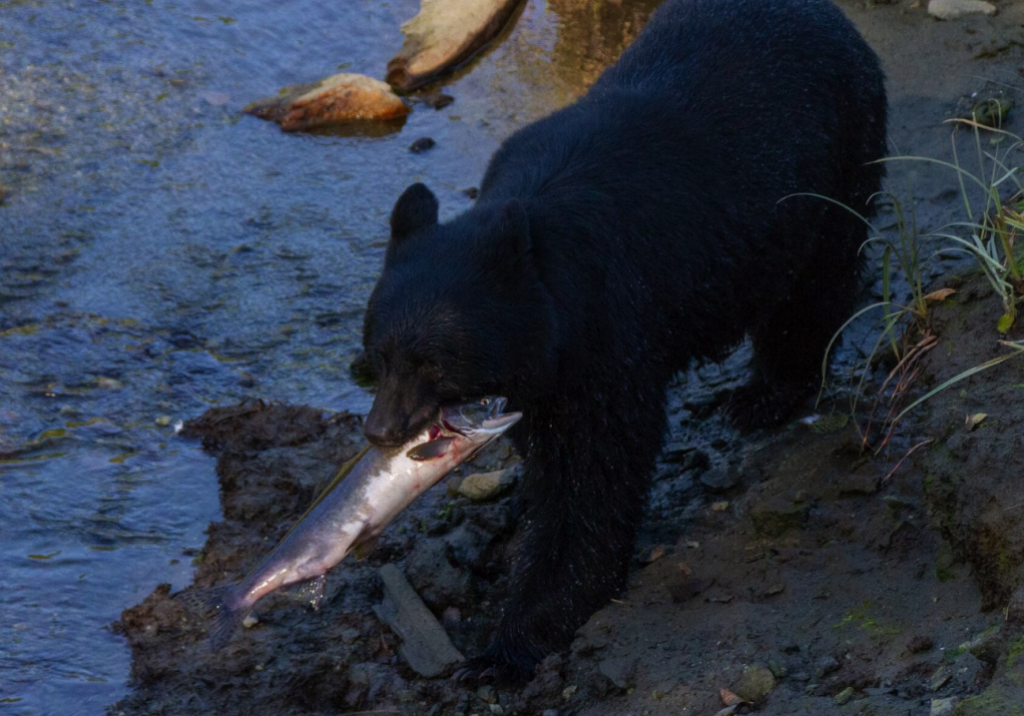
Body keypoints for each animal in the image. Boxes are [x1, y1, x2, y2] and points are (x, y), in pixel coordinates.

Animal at [362, 0, 888, 676]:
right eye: (378, 356)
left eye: (432, 362)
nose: (381, 430)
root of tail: (833, 17)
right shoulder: (544, 365)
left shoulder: (608, 328)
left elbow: (594, 471)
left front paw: (511, 645)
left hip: (836, 163)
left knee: (814, 287)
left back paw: (767, 394)